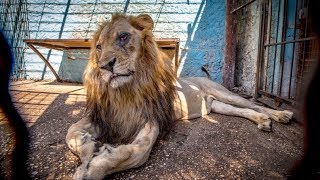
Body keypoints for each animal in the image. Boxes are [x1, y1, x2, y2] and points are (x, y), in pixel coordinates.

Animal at [66, 13, 294, 179]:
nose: (104, 66)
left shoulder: (151, 118)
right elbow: (71, 132)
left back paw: (281, 115)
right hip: (218, 106)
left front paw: (95, 166)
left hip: (224, 93)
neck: (126, 91)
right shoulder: (104, 116)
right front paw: (89, 148)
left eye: (123, 37)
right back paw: (263, 121)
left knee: (254, 104)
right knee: (244, 110)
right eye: (98, 47)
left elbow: (138, 152)